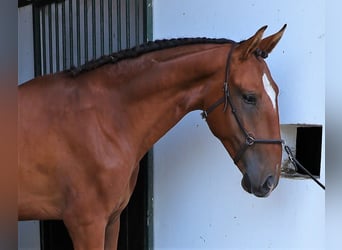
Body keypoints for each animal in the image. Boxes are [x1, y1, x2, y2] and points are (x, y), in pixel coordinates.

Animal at [18, 24, 286, 248]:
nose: (270, 180)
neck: (104, 118)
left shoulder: (112, 221)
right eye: (249, 97)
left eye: (276, 92)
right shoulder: (86, 224)